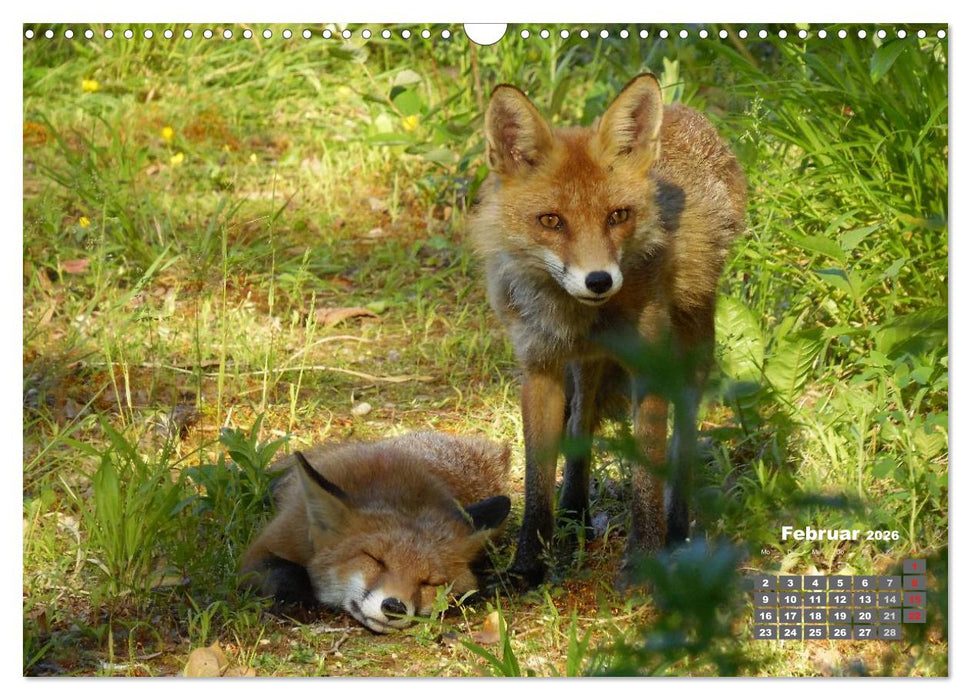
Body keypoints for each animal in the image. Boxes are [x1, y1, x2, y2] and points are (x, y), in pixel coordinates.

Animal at [468, 74, 746, 587]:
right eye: (551, 221)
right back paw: (574, 512)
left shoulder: (650, 368)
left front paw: (644, 559)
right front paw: (527, 568)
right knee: (581, 421)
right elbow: (537, 483)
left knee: (681, 445)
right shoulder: (539, 369)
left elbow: (647, 479)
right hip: (586, 364)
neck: (578, 317)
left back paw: (677, 531)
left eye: (618, 216)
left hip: (693, 349)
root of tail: (686, 110)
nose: (599, 280)